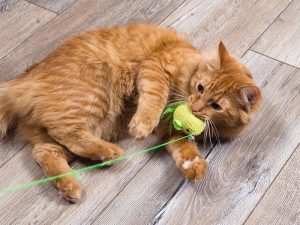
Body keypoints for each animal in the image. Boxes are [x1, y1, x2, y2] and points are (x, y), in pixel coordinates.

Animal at [0, 23, 262, 202]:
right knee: (65, 132)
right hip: (92, 96)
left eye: (216, 106)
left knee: (45, 151)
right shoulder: (155, 67)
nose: (194, 107)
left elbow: (184, 149)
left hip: (79, 125)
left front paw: (194, 165)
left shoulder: (171, 132)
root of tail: (27, 78)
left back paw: (70, 186)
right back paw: (111, 153)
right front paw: (142, 125)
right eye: (200, 88)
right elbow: (154, 99)